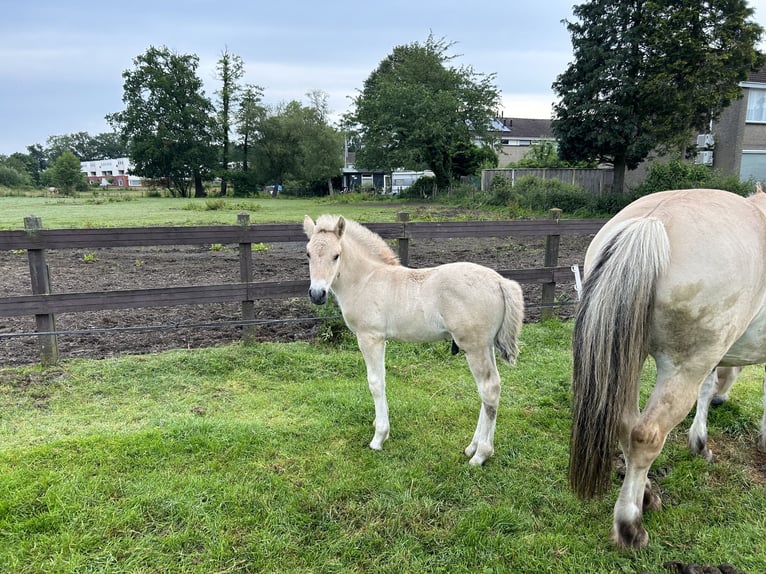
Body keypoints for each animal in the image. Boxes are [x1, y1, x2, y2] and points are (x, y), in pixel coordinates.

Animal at [306, 214, 528, 466]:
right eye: (308, 254)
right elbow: (382, 380)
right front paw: (379, 425)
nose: (317, 294)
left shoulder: (370, 337)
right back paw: (472, 447)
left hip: (474, 347)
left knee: (488, 389)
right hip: (485, 346)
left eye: (336, 255)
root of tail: (500, 281)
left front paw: (379, 437)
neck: (366, 280)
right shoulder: (380, 339)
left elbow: (376, 383)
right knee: (490, 389)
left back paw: (481, 454)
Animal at [568, 188, 766, 548]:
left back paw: (646, 495)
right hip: (681, 368)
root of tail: (651, 222)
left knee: (626, 425)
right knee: (646, 436)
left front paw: (700, 442)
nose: (723, 401)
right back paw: (630, 524)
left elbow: (707, 388)